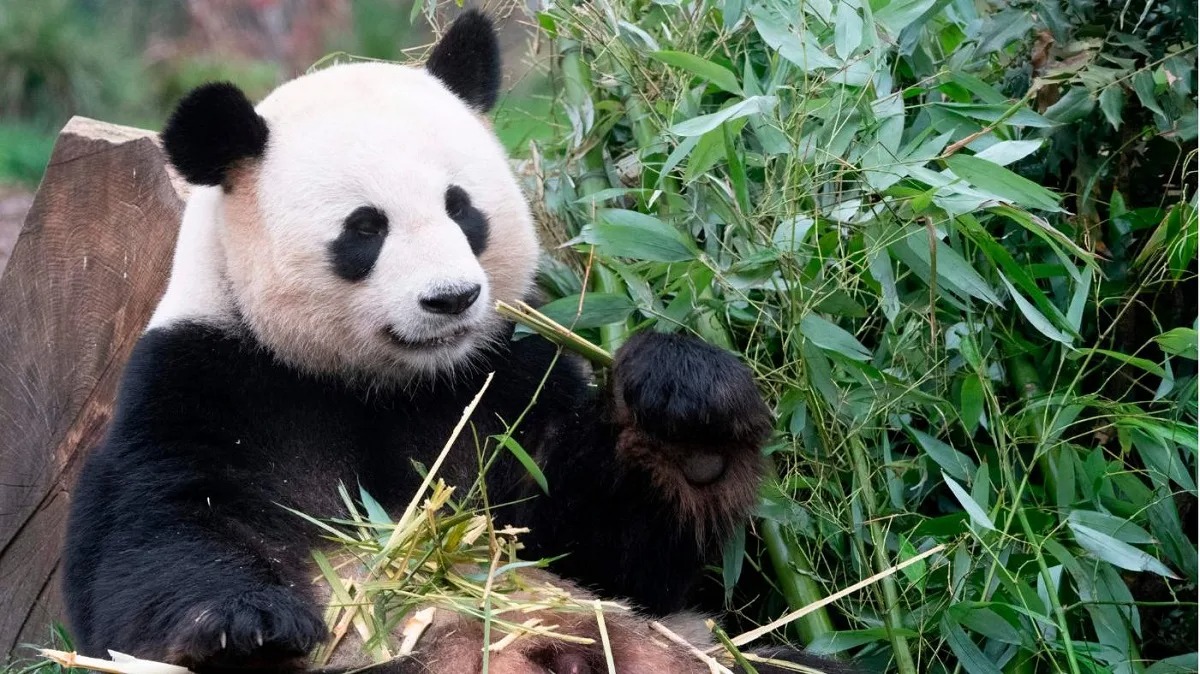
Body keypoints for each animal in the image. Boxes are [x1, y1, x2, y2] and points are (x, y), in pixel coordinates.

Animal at [62, 10, 860, 674]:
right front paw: (242, 625)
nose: (451, 299)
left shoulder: (506, 380)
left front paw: (689, 412)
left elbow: (609, 545)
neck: (388, 382)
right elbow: (151, 540)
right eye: (365, 229)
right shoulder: (210, 378)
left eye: (462, 208)